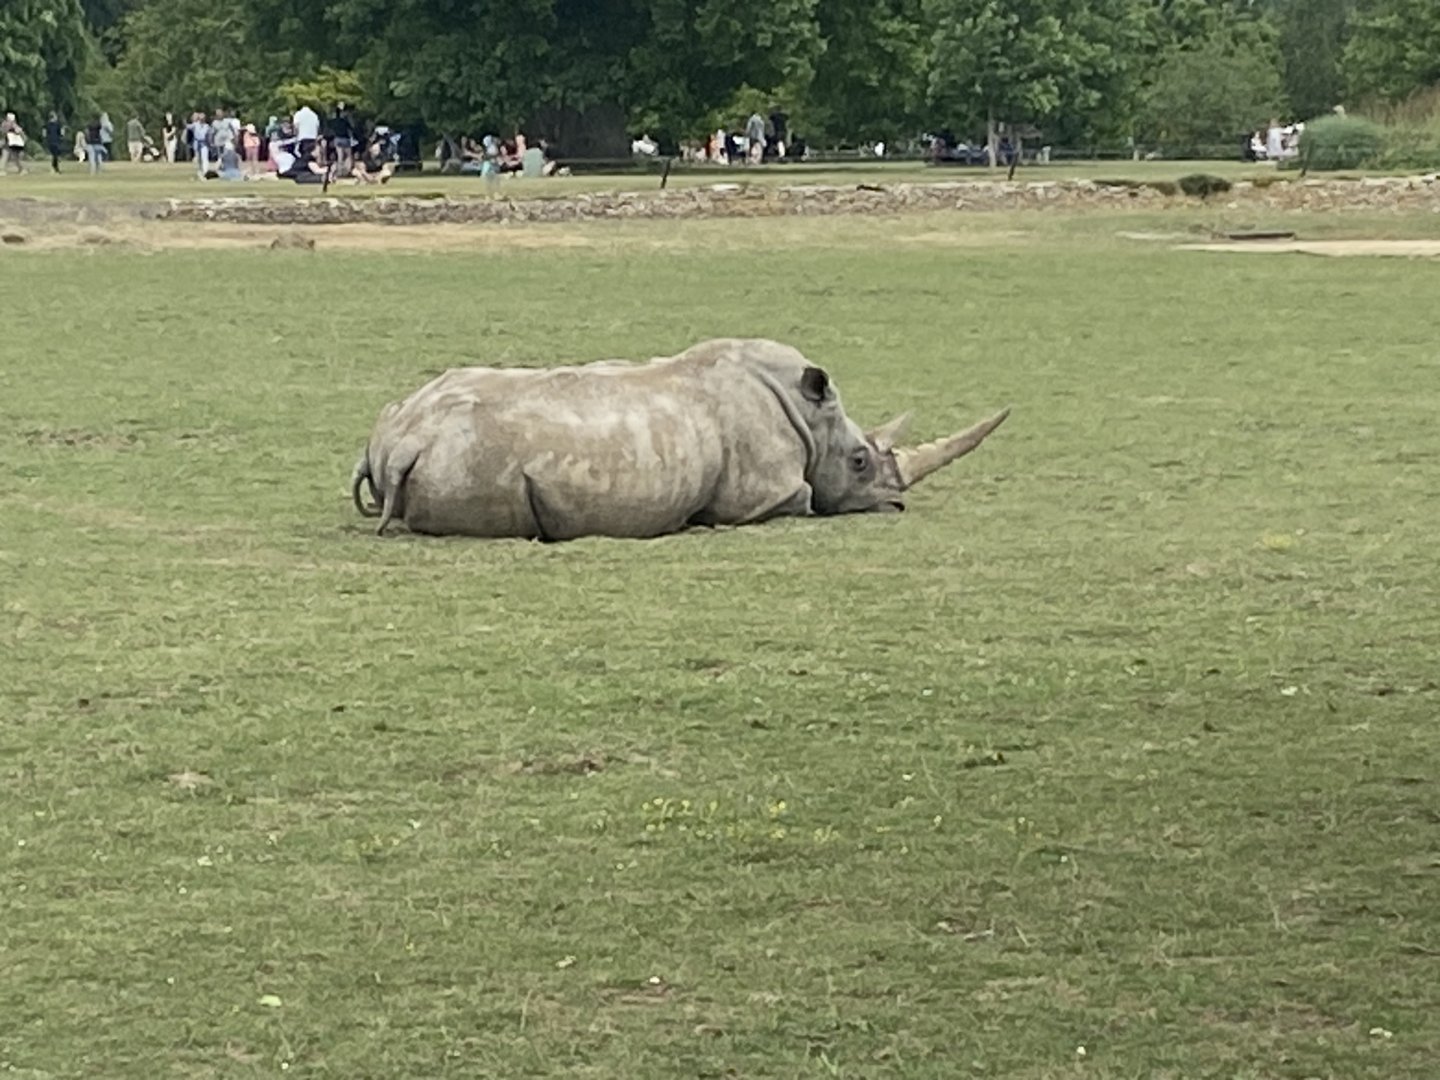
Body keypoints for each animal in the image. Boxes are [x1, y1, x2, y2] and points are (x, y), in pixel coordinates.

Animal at [350, 338, 1008, 541]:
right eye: (861, 462)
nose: (896, 503)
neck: (808, 414)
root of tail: (398, 443)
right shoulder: (770, 493)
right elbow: (803, 498)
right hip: (470, 453)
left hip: (417, 429)